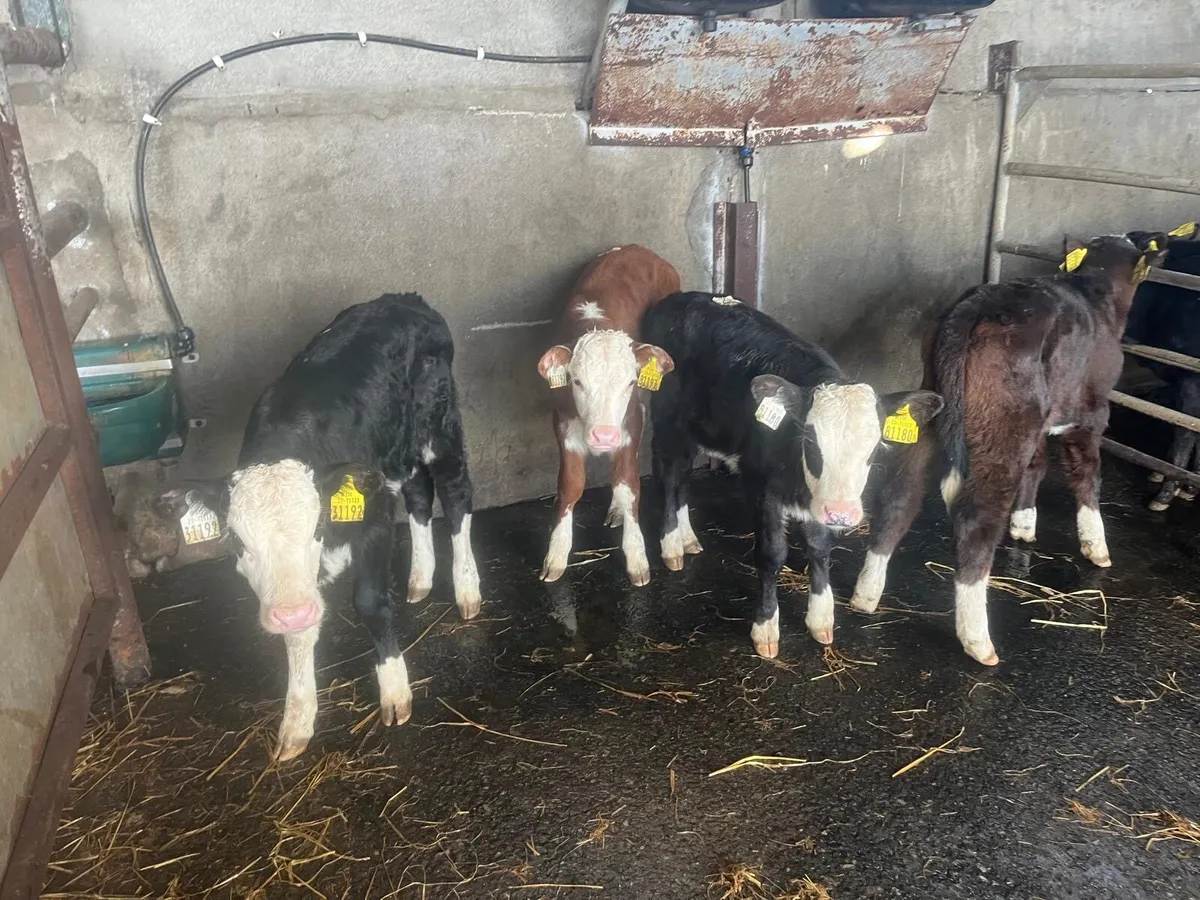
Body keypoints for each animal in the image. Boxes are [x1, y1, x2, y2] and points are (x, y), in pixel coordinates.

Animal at [173, 293, 481, 761]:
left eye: (316, 527)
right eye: (238, 541)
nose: (291, 611)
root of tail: (405, 299)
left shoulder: (373, 515)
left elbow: (370, 603)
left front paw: (395, 690)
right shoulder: (293, 589)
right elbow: (297, 636)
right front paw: (298, 718)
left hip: (440, 425)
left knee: (455, 492)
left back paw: (466, 588)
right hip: (399, 450)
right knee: (417, 495)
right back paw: (420, 578)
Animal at [536, 245, 679, 587]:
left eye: (629, 382)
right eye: (576, 381)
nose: (604, 436)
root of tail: (637, 249)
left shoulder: (631, 419)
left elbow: (628, 485)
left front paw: (637, 557)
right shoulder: (563, 423)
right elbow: (571, 485)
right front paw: (556, 554)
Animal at [640, 292, 942, 658]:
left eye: (874, 448)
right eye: (810, 440)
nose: (842, 513)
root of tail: (682, 297)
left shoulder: (819, 501)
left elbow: (820, 548)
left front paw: (821, 617)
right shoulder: (760, 487)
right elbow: (772, 554)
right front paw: (766, 627)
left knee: (683, 475)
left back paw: (687, 537)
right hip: (667, 420)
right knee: (670, 477)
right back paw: (672, 544)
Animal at [850, 232, 1168, 666]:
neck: (1097, 289)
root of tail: (978, 304)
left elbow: (1037, 465)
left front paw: (1024, 523)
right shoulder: (1093, 410)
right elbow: (1087, 473)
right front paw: (1095, 544)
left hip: (933, 410)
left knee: (899, 497)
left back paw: (866, 594)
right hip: (1006, 423)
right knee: (975, 520)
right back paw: (978, 638)